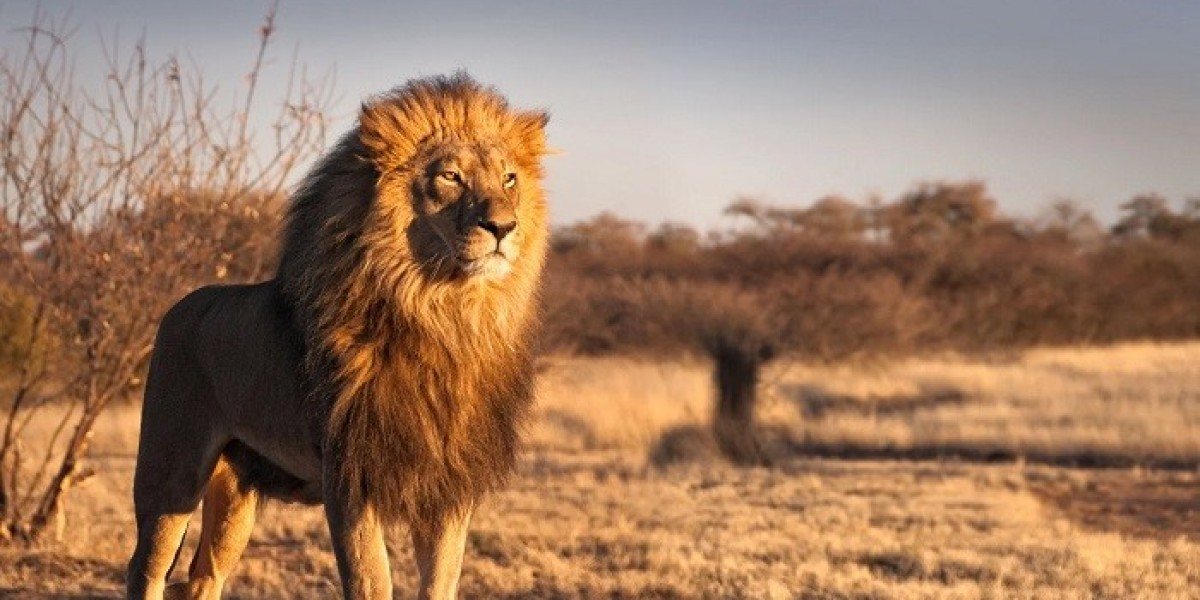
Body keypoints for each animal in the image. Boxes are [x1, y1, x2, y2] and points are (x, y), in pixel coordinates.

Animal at [125, 73, 551, 600]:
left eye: (509, 179)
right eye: (451, 177)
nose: (503, 226)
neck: (444, 316)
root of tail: (179, 306)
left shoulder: (447, 488)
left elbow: (441, 583)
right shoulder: (350, 483)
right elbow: (372, 582)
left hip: (235, 493)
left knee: (203, 577)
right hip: (171, 472)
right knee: (145, 568)